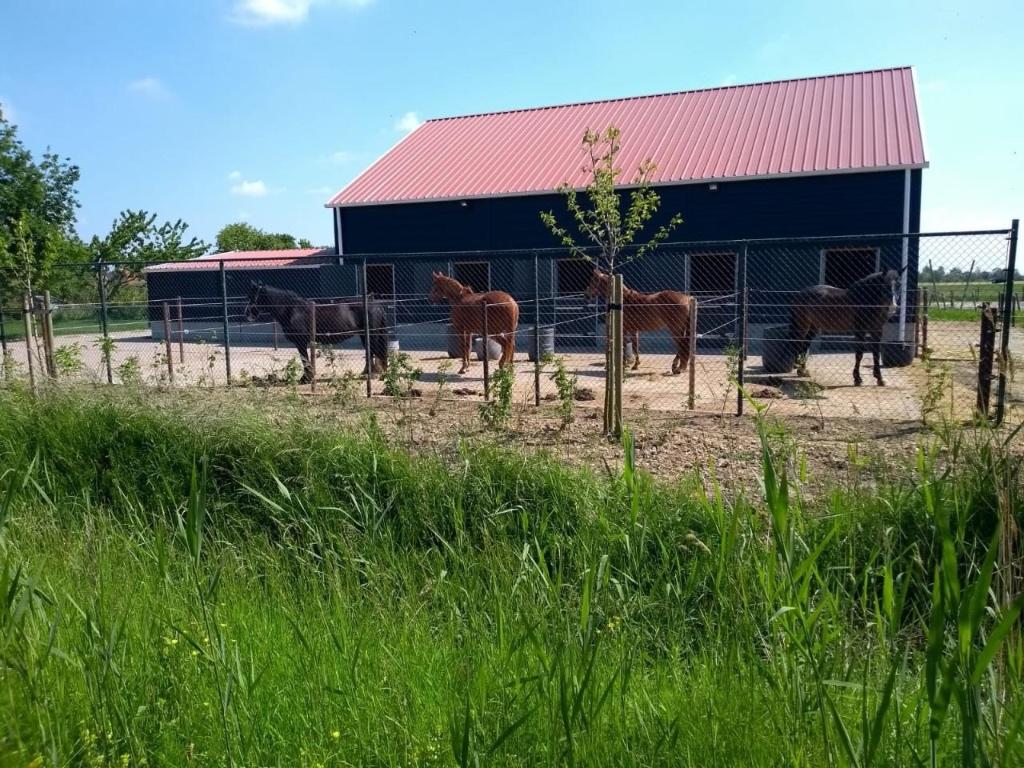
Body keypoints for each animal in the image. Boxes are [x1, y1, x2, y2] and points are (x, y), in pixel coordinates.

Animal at [243, 282, 389, 384]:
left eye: (253, 296)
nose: (247, 313)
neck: (292, 310)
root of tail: (376, 304)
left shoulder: (300, 342)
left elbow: (305, 360)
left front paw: (306, 379)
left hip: (372, 335)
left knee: (373, 351)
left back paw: (373, 374)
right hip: (364, 335)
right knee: (370, 351)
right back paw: (366, 373)